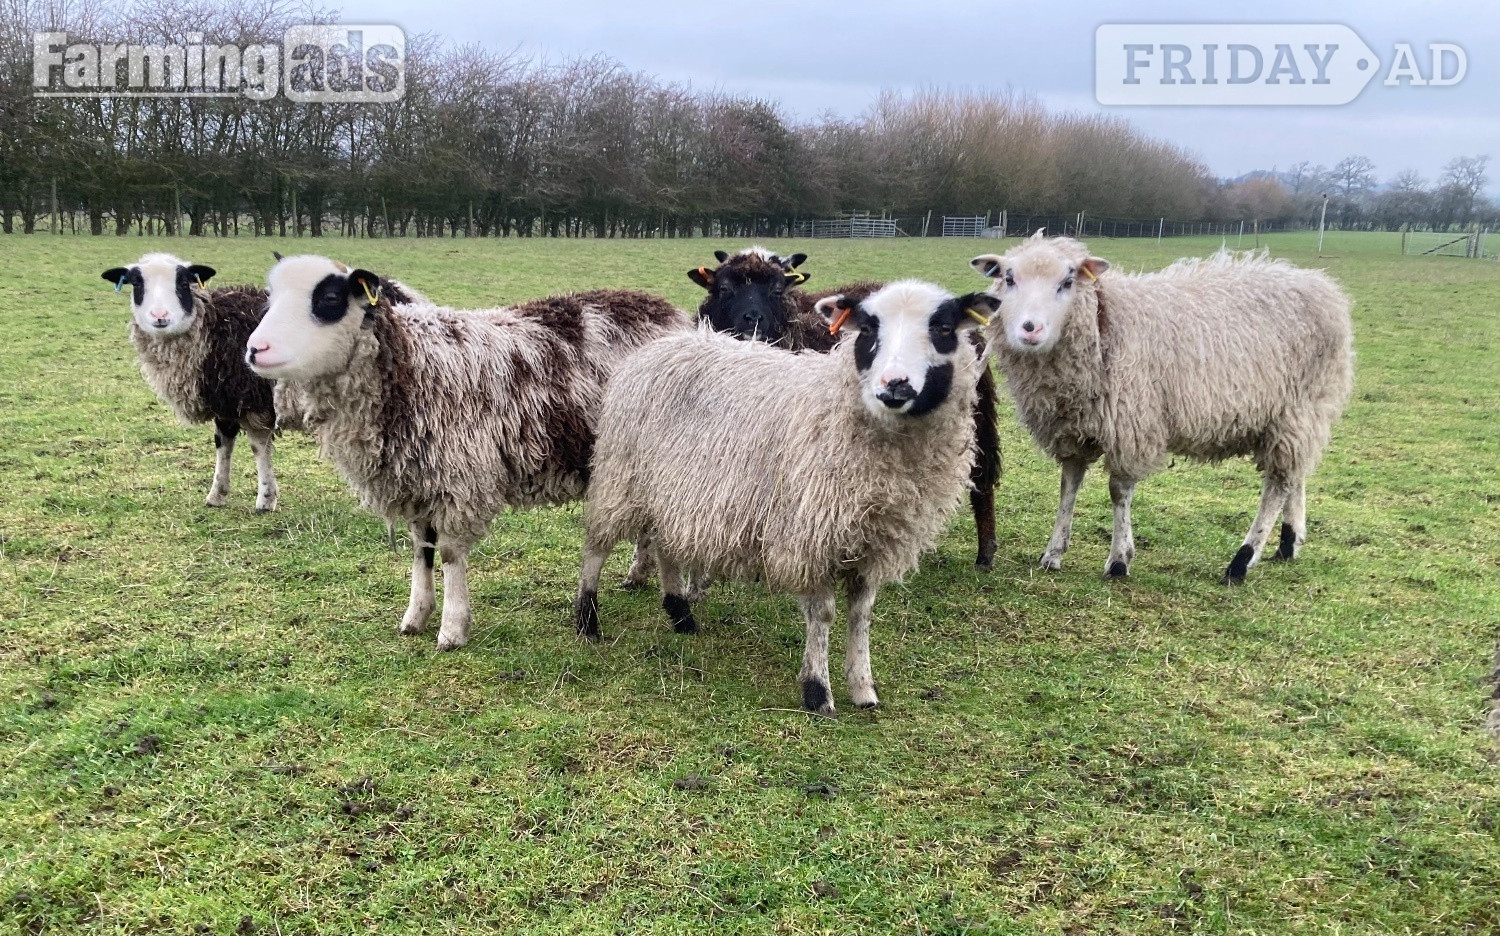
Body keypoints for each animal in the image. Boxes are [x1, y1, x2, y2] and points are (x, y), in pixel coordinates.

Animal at [247, 255, 690, 650]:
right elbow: (421, 550)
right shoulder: (418, 480)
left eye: (329, 298)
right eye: (271, 297)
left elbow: (448, 554)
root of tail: (665, 309)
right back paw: (638, 574)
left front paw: (452, 629)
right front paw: (415, 616)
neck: (409, 366)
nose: (254, 349)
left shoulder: (458, 480)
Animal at [573, 281, 1002, 715]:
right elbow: (823, 614)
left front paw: (863, 688)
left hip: (669, 491)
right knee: (597, 546)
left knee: (664, 546)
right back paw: (587, 619)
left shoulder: (873, 543)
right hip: (622, 476)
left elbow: (861, 615)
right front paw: (817, 690)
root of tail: (661, 344)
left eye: (944, 328)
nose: (894, 384)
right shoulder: (809, 536)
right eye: (867, 329)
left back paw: (680, 614)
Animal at [689, 246, 1005, 570]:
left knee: (982, 479)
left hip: (975, 417)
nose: (752, 320)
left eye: (777, 290)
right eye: (724, 288)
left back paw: (984, 555)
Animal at [970, 233, 1353, 584]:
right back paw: (1289, 542)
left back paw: (1242, 560)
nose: (1030, 329)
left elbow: (1118, 492)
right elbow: (1069, 485)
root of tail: (1323, 287)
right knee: (1295, 474)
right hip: (1299, 416)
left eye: (1067, 282)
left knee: (1277, 485)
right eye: (1009, 278)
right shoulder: (1073, 428)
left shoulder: (1131, 425)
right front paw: (1053, 553)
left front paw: (1119, 559)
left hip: (1296, 409)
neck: (1105, 325)